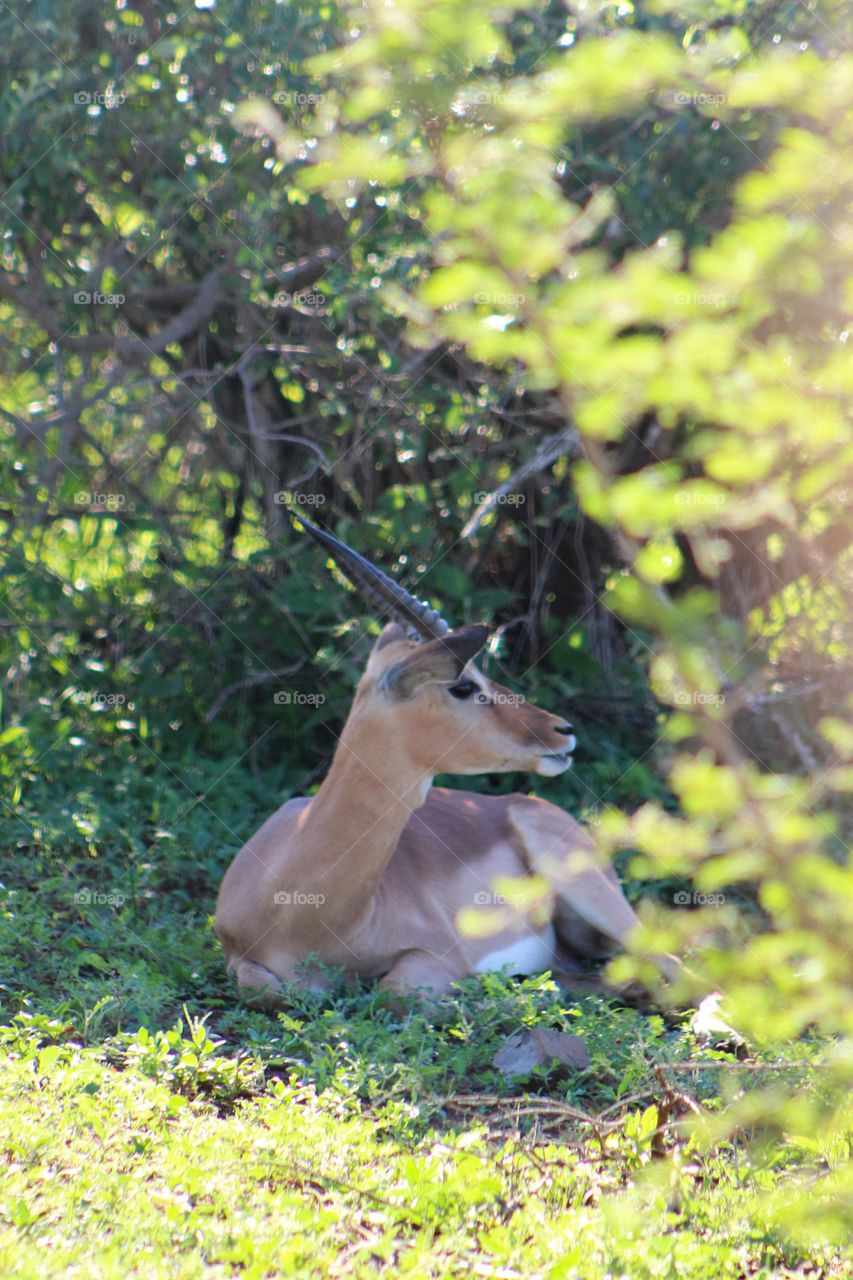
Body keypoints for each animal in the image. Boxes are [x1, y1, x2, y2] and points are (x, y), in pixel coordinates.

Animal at [213, 517, 671, 998]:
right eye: (464, 686)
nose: (562, 731)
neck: (302, 905)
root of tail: (527, 805)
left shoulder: (438, 955)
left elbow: (395, 992)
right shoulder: (238, 955)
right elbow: (265, 989)